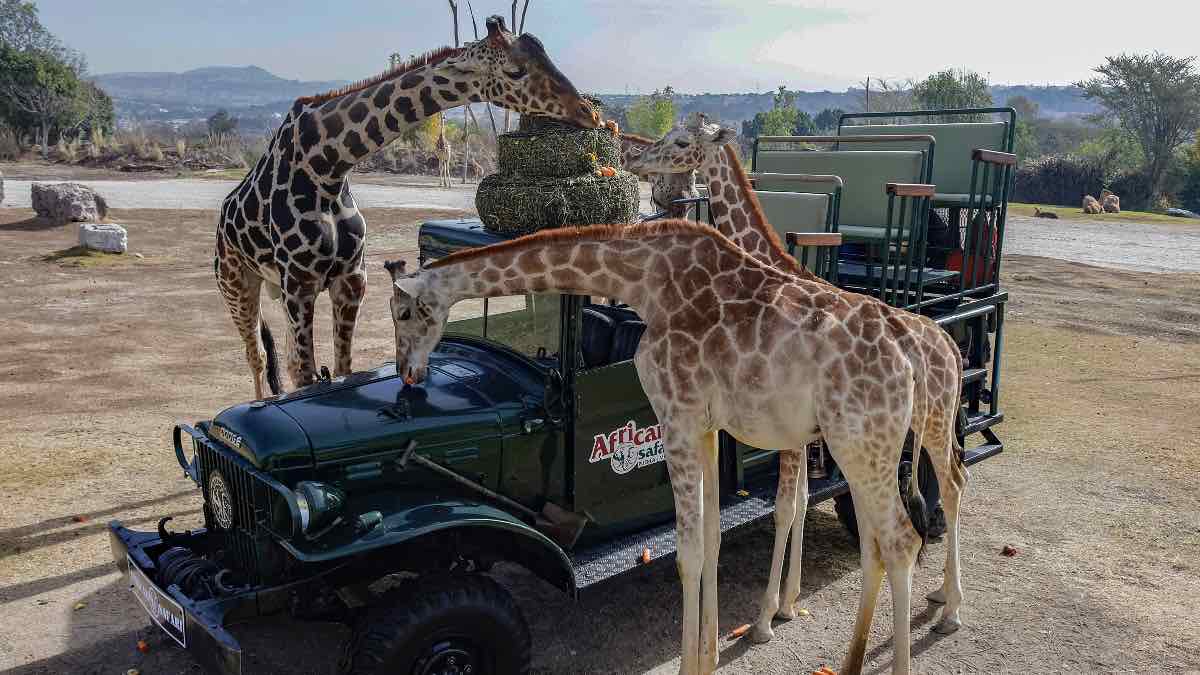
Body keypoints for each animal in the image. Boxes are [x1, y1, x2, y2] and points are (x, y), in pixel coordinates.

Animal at [215, 16, 599, 398]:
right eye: (516, 71)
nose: (588, 112)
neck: (326, 166)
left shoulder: (351, 280)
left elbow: (343, 368)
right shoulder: (300, 283)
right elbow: (307, 375)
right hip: (237, 284)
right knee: (259, 356)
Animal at [385, 220, 964, 675]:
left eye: (405, 314)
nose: (409, 375)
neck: (646, 283)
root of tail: (914, 346)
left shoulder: (676, 418)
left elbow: (687, 554)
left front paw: (693, 662)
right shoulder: (705, 426)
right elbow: (710, 541)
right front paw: (708, 656)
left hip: (864, 441)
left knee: (903, 537)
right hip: (866, 448)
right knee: (877, 543)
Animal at [627, 115, 972, 641]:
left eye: (681, 142)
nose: (636, 159)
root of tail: (949, 343)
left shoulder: (788, 434)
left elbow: (786, 506)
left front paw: (765, 617)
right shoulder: (800, 433)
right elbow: (803, 501)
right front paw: (788, 602)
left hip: (929, 423)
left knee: (949, 484)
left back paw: (951, 610)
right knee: (954, 478)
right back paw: (938, 595)